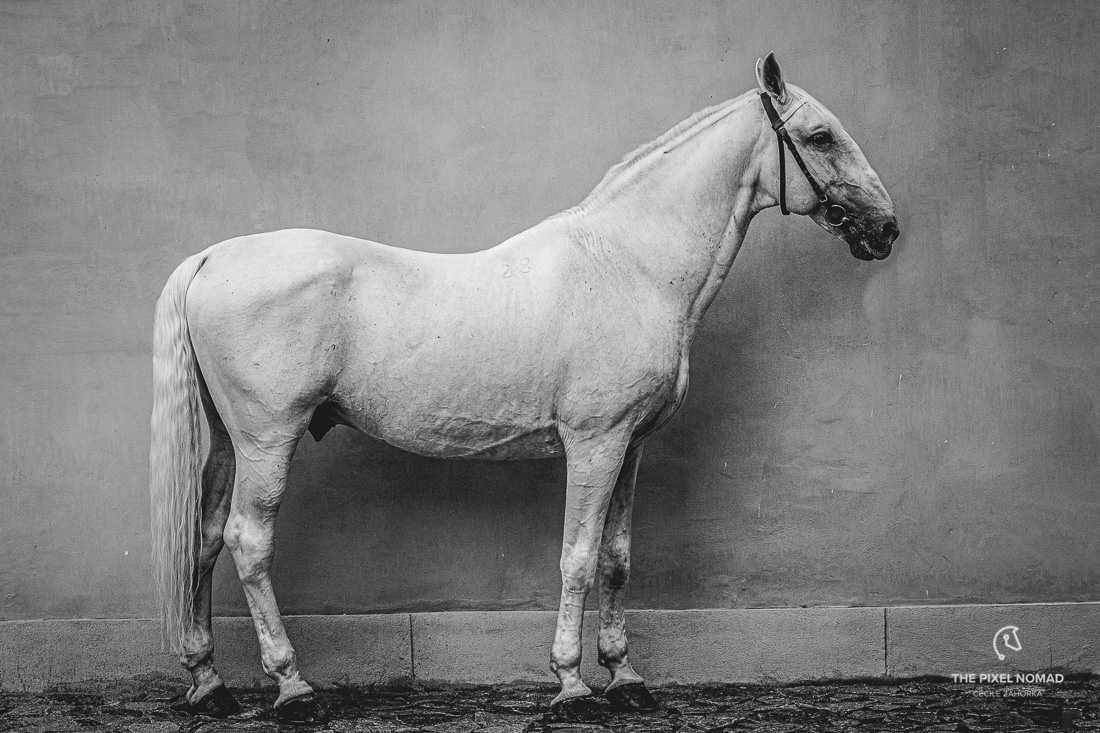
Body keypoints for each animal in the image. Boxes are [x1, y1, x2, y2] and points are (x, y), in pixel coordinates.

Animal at [150, 53, 898, 721]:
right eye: (820, 135)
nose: (886, 229)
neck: (630, 266)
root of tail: (212, 256)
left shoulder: (631, 446)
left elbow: (617, 559)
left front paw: (626, 678)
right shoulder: (595, 443)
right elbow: (578, 558)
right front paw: (571, 686)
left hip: (229, 442)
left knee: (207, 537)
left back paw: (210, 685)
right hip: (268, 440)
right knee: (249, 541)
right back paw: (293, 688)